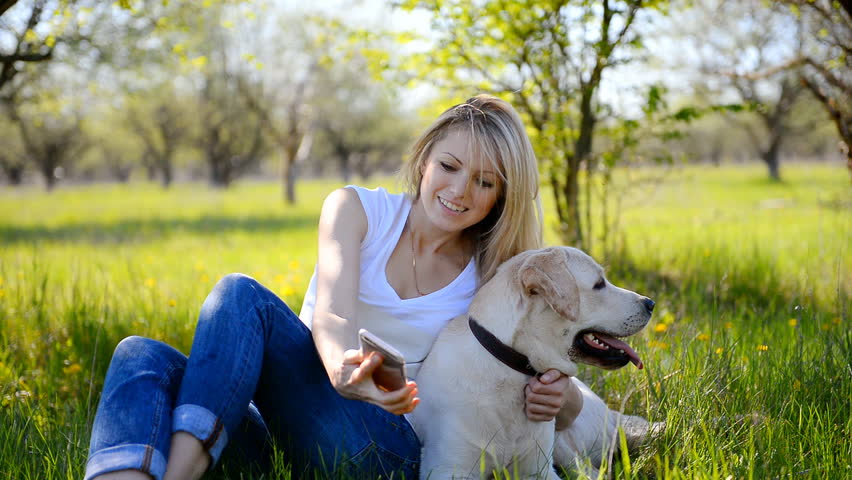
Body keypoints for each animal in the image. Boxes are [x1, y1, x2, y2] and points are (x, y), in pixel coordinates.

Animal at [410, 248, 656, 480]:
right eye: (598, 284)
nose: (651, 303)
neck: (508, 366)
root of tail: (612, 414)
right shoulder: (448, 469)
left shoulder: (538, 470)